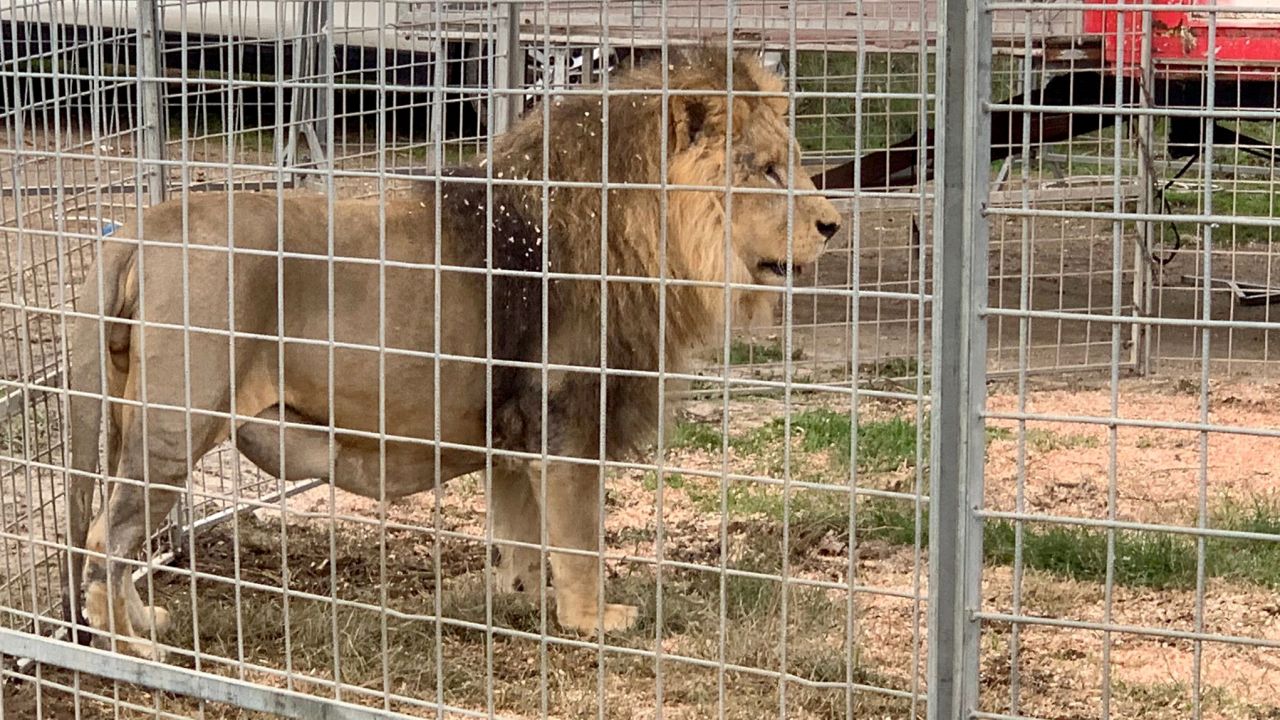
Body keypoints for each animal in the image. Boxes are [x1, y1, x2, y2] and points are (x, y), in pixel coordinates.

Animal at [62, 46, 839, 655]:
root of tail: (144, 227)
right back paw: (132, 651)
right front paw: (593, 621)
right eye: (768, 171)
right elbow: (580, 538)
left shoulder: (514, 433)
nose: (833, 225)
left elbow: (523, 533)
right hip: (174, 426)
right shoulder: (567, 418)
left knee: (114, 539)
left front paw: (523, 602)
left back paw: (144, 624)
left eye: (798, 164)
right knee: (105, 537)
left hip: (133, 416)